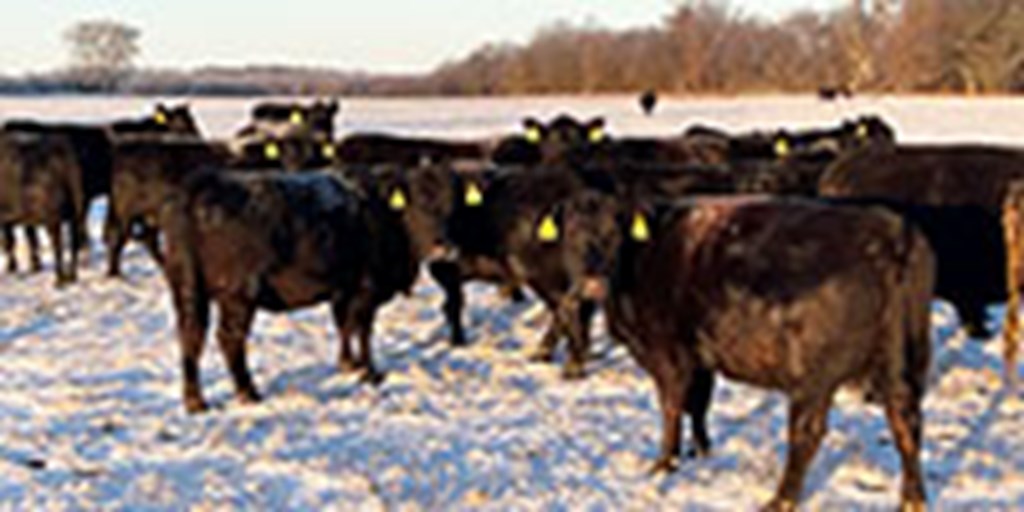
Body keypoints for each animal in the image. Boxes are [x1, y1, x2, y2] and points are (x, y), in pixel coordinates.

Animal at [552, 192, 937, 512]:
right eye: (571, 234)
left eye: (614, 234)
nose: (591, 282)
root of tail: (892, 232)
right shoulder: (702, 358)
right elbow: (699, 403)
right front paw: (702, 449)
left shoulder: (669, 354)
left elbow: (672, 406)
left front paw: (664, 463)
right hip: (900, 366)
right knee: (906, 424)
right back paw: (912, 499)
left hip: (814, 380)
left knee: (807, 434)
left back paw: (781, 499)